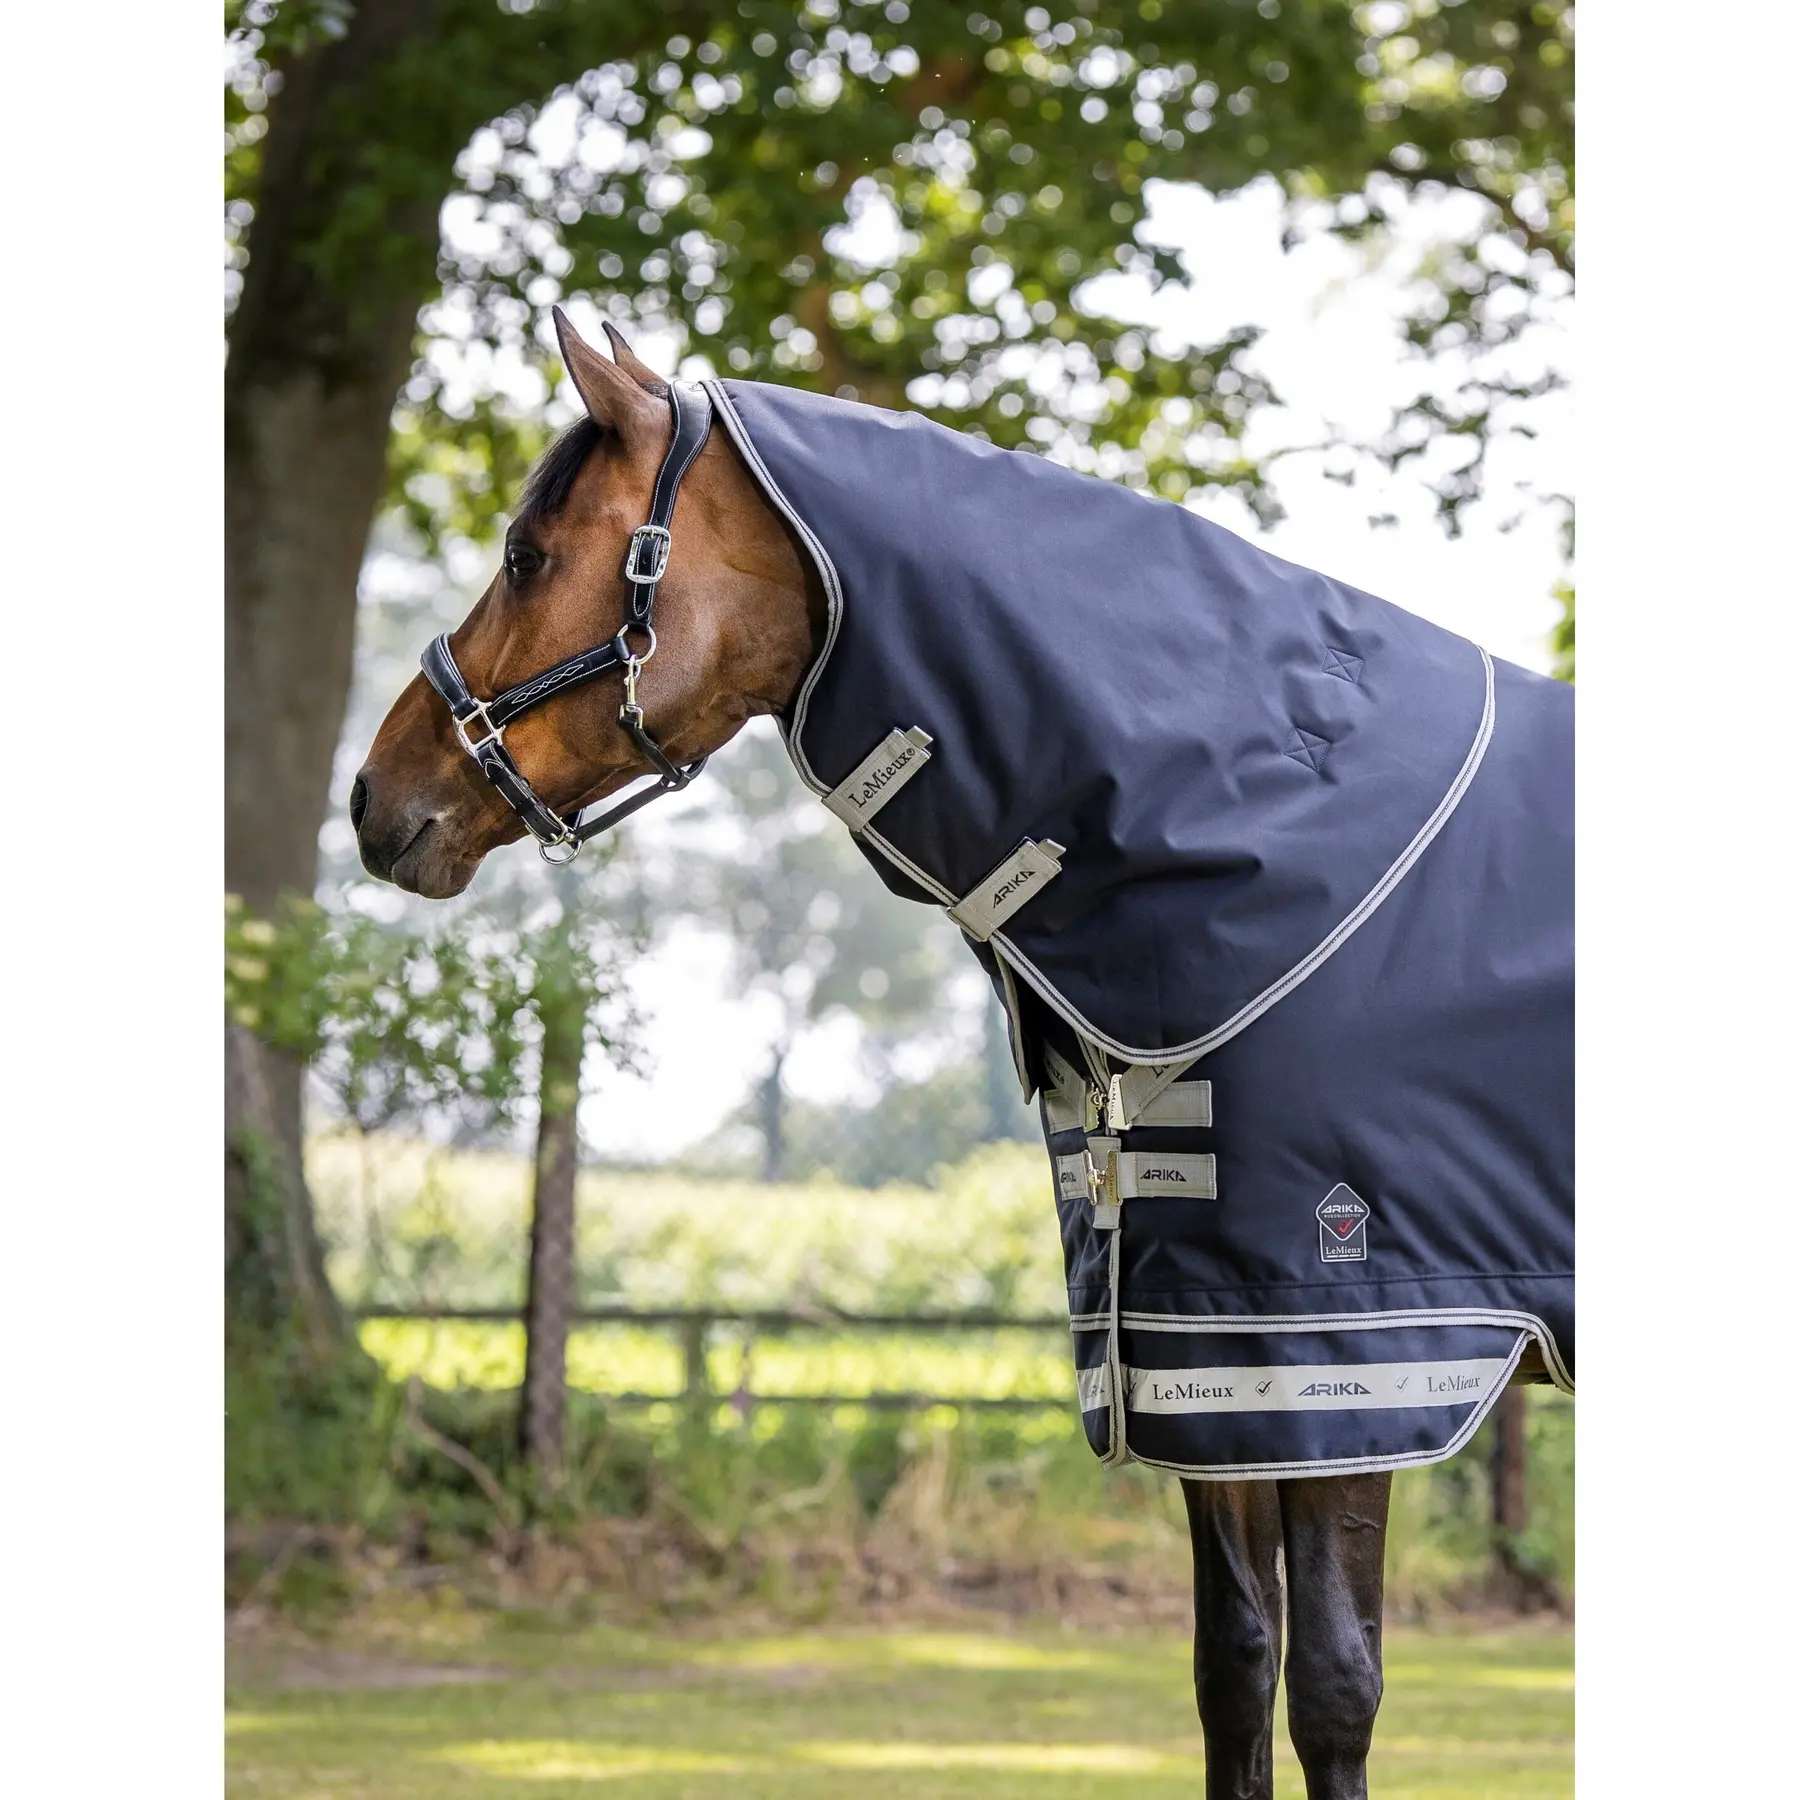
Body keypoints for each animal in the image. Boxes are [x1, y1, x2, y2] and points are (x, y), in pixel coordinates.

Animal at [353, 310, 1571, 1800]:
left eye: (529, 554)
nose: (375, 798)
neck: (1293, 837)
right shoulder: (1206, 1355)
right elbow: (1237, 1670)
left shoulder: (1364, 1357)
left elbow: (1336, 1689)